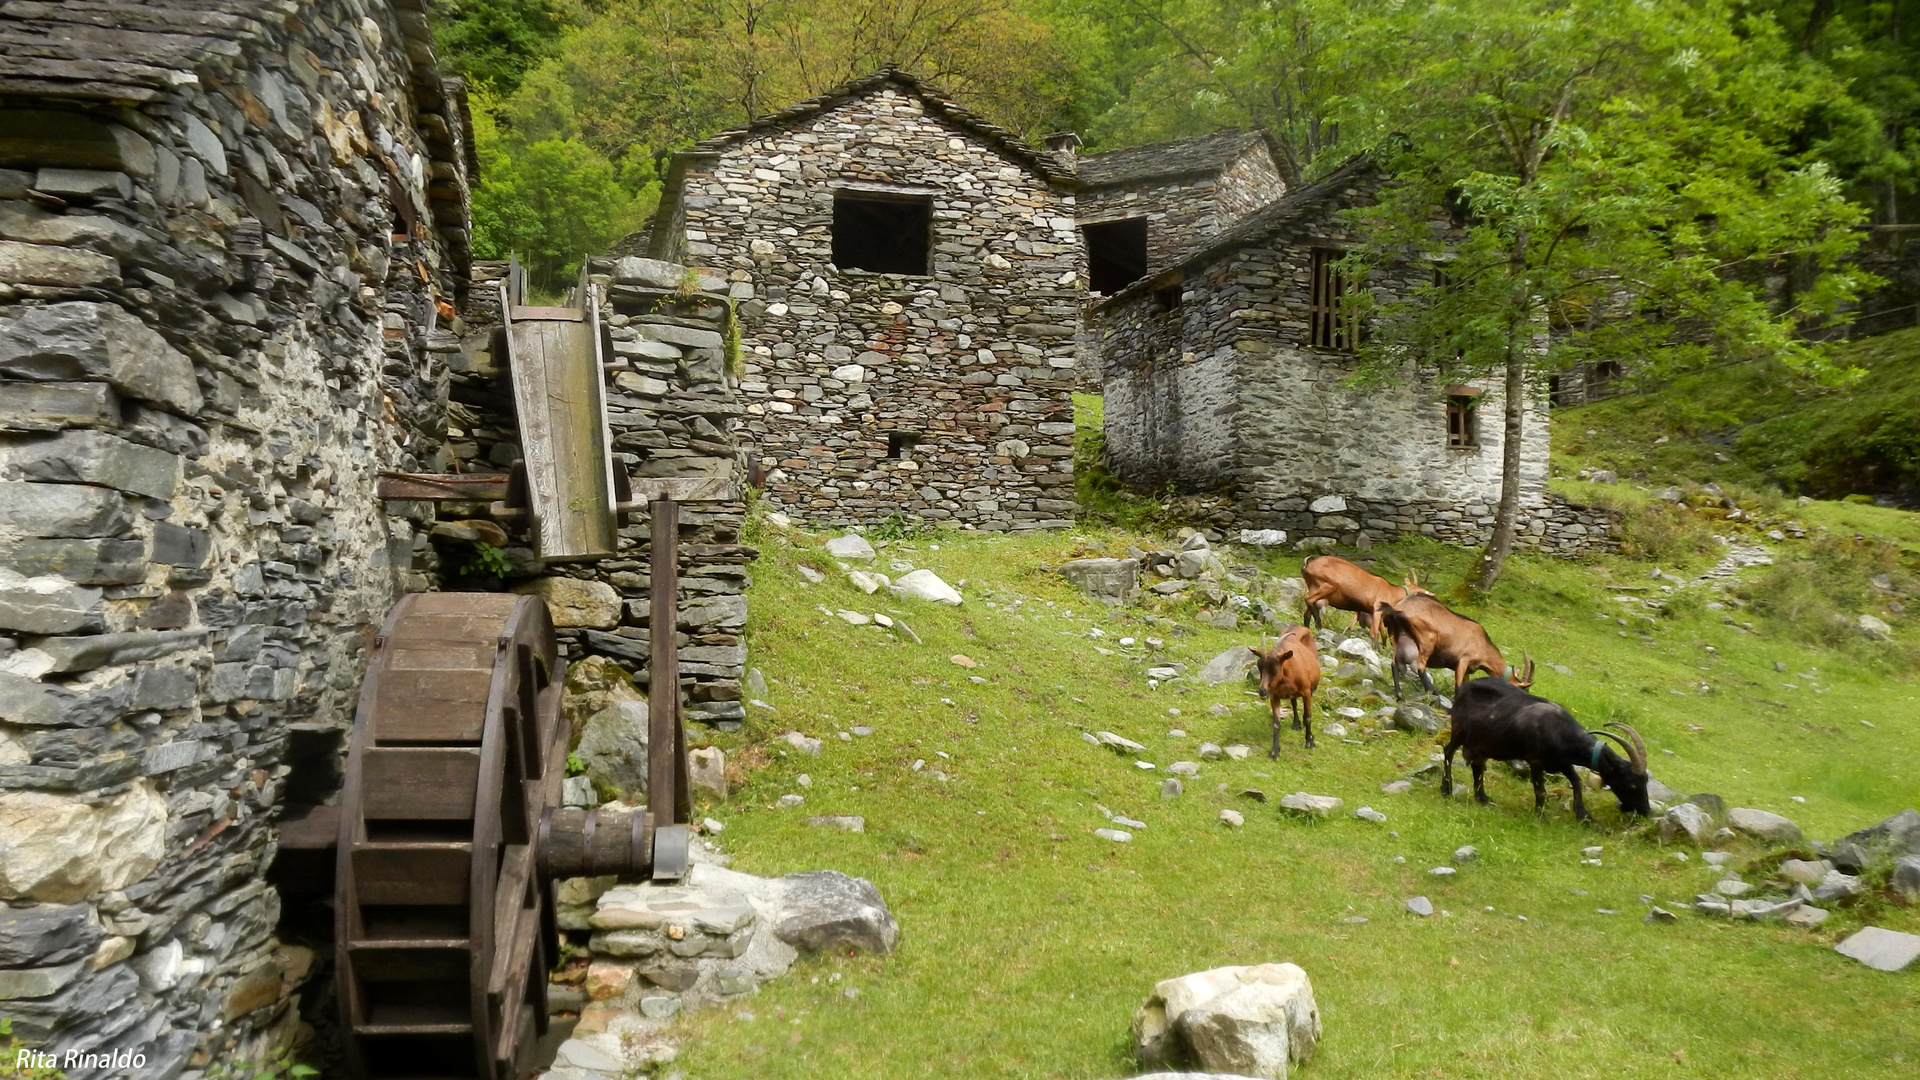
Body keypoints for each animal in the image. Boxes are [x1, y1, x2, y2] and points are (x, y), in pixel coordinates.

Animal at [1382, 588, 1528, 699]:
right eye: (1520, 688)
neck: (1483, 645)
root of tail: (1398, 609)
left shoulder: (1468, 669)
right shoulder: (1463, 660)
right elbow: (1458, 685)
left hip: (1395, 637)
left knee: (1394, 664)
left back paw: (1400, 695)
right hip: (1427, 640)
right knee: (1420, 667)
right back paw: (1435, 693)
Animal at [1443, 676, 1651, 818]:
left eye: (1646, 781)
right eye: (1632, 784)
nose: (1646, 811)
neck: (1561, 731)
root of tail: (1463, 687)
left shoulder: (1562, 762)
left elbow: (1577, 782)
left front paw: (1583, 815)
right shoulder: (1536, 761)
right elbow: (1540, 790)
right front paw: (1540, 815)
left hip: (1483, 743)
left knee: (1478, 765)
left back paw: (1483, 798)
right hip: (1459, 731)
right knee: (1448, 752)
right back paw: (1446, 790)